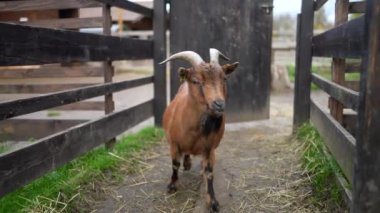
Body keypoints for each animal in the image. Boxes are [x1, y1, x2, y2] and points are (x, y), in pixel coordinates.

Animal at [160, 49, 238, 212]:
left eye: (224, 79)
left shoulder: (209, 149)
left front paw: (213, 202)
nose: (219, 104)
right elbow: (174, 164)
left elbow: (209, 173)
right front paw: (172, 186)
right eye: (196, 81)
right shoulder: (174, 144)